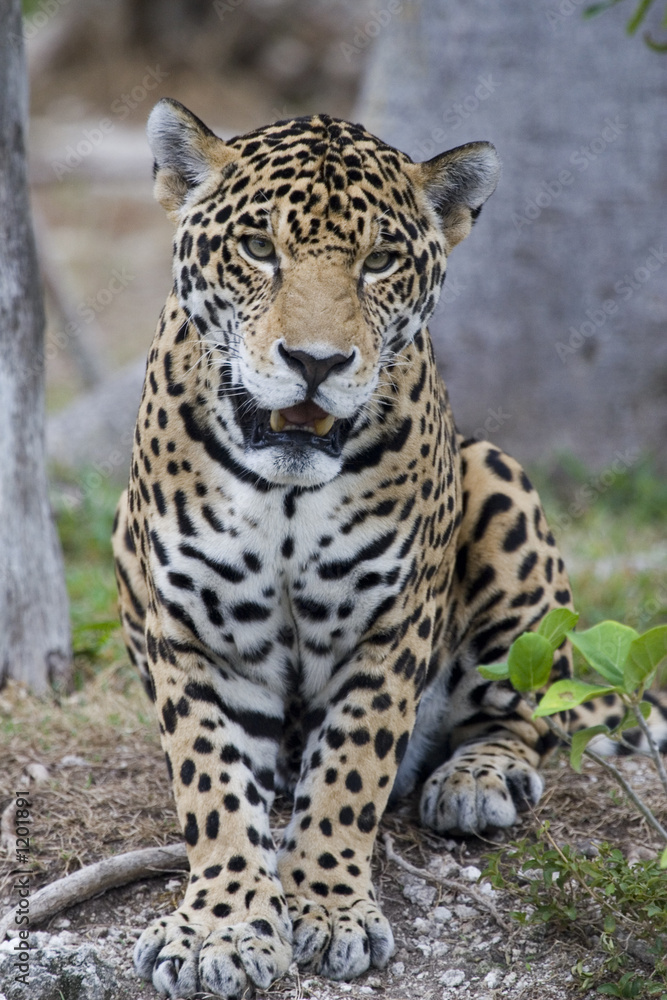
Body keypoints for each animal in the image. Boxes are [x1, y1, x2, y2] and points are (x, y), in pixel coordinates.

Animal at [112, 99, 667, 999]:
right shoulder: (188, 627)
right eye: (258, 249)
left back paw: (476, 781)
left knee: (529, 710)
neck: (286, 493)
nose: (315, 362)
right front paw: (221, 925)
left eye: (377, 263)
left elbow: (351, 768)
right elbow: (211, 782)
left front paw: (329, 910)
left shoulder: (390, 621)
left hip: (496, 480)